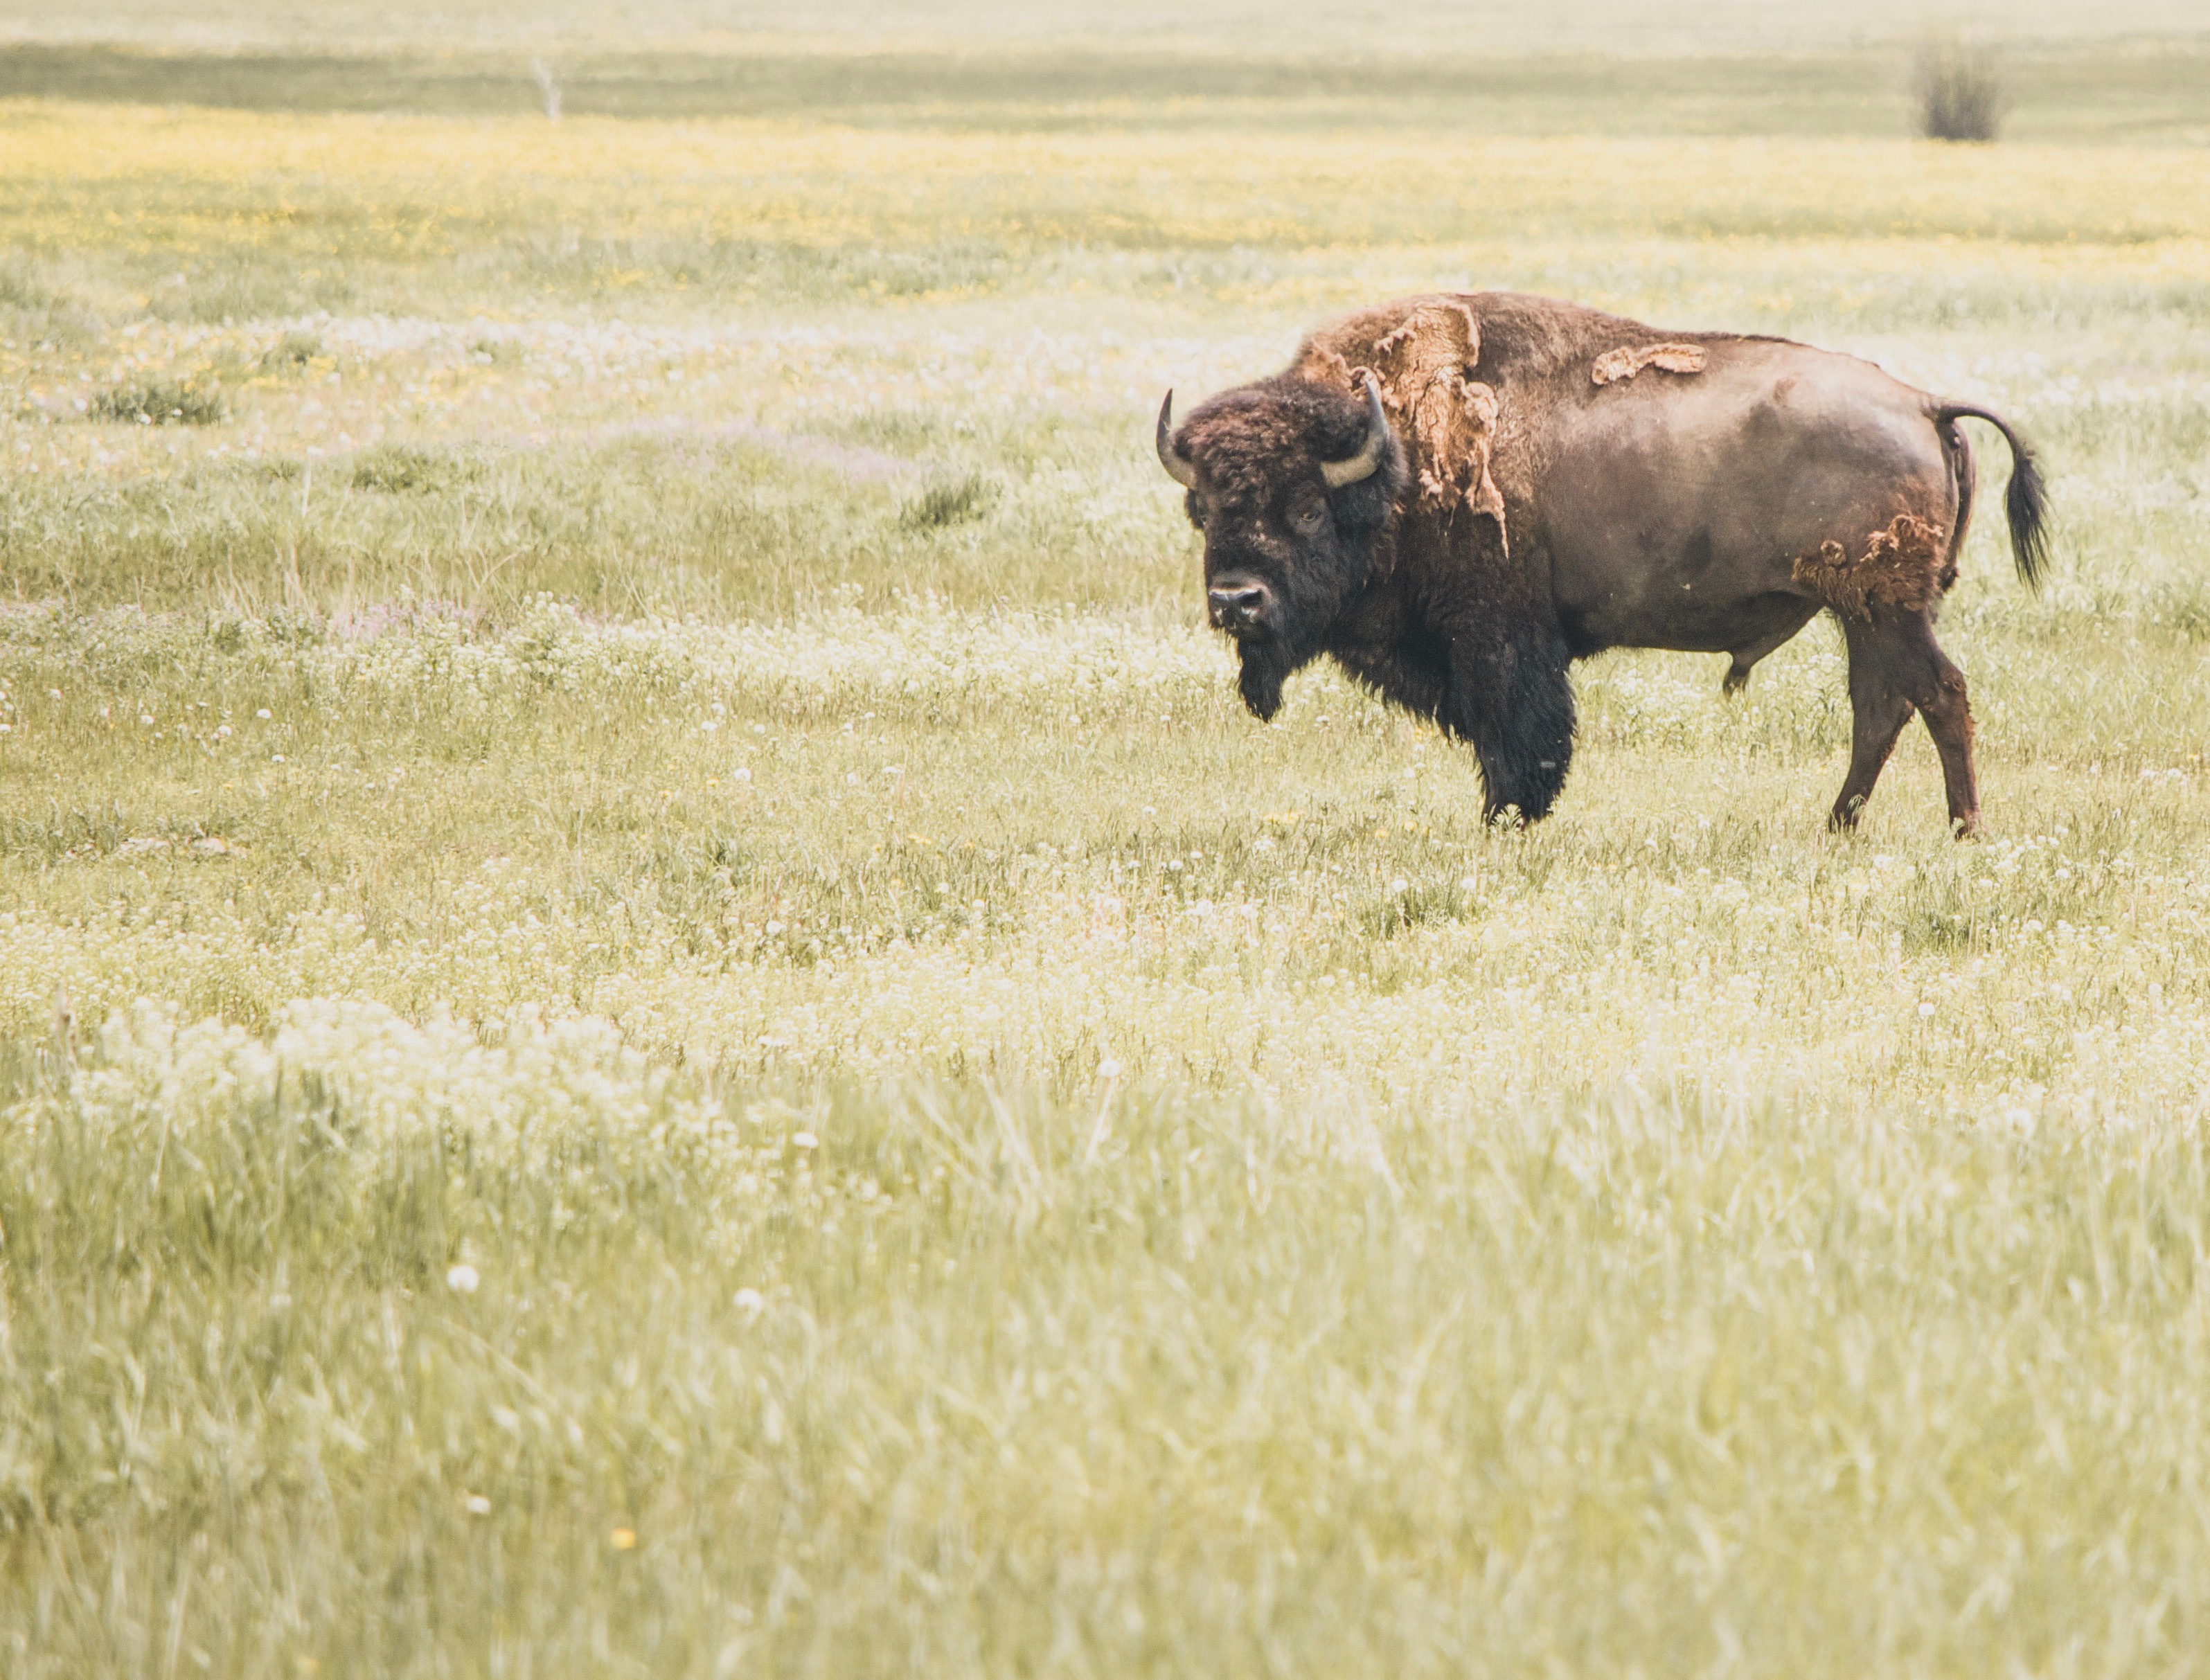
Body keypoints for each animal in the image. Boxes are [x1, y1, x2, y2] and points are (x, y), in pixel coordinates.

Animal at [1156, 292, 2048, 835]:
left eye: (1306, 507)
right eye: (1205, 510)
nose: (1235, 601)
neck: (1393, 461)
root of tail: (1922, 405)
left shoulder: (1500, 642)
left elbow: (1516, 739)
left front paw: (1507, 821)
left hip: (1884, 608)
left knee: (1937, 694)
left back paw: (1962, 832)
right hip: (1864, 611)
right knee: (1881, 706)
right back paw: (1836, 827)